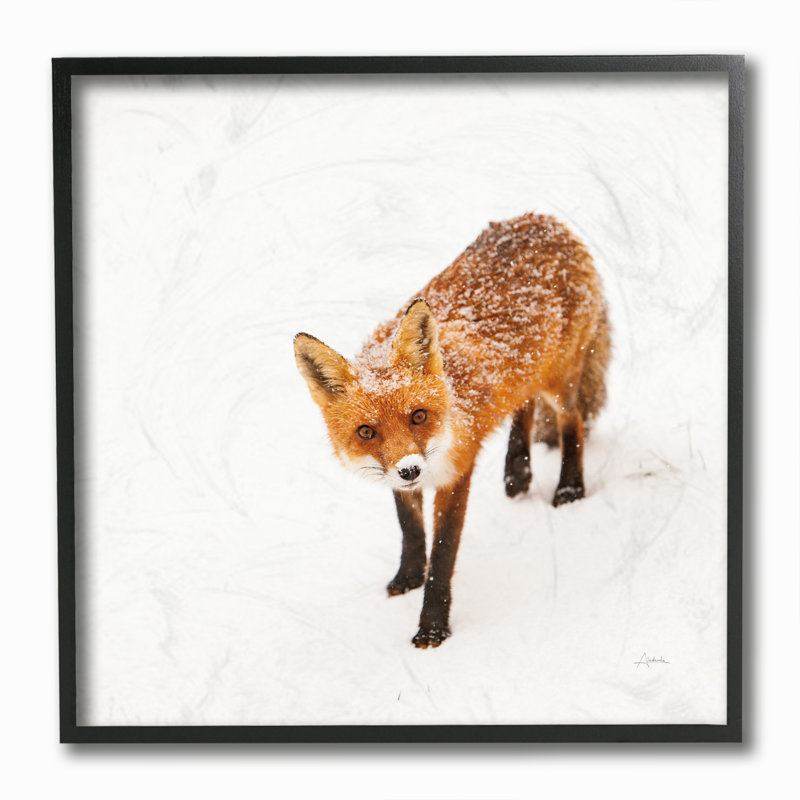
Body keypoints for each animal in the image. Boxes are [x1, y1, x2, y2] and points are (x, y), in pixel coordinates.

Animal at [294, 212, 610, 648]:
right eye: (366, 432)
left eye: (418, 416)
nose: (410, 469)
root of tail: (543, 219)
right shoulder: (399, 479)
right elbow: (410, 530)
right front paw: (409, 576)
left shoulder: (457, 472)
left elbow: (442, 555)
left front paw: (432, 627)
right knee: (523, 404)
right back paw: (517, 471)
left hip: (559, 382)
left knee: (571, 421)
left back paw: (569, 489)